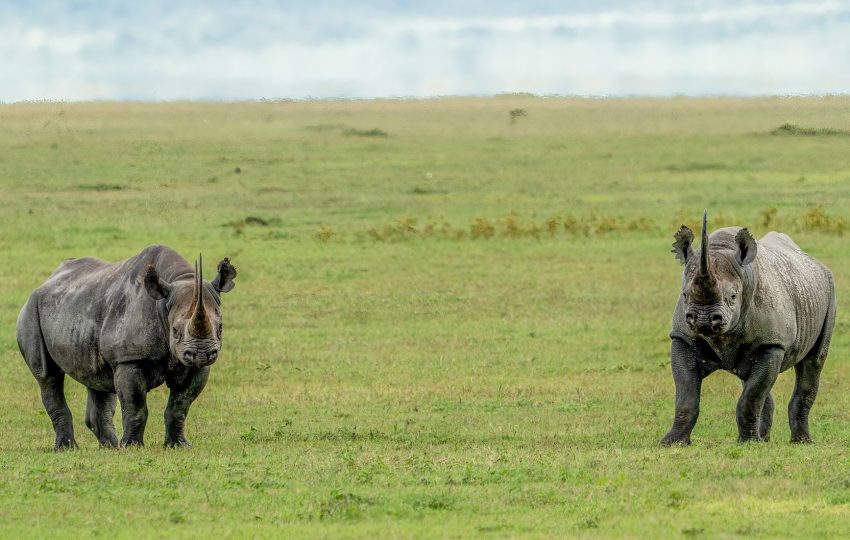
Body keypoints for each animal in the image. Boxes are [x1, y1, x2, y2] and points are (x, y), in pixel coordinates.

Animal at [16, 245, 237, 450]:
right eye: (174, 330)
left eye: (220, 327)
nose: (202, 354)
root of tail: (46, 281)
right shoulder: (129, 359)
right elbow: (135, 406)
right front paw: (132, 446)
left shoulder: (194, 366)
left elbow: (180, 406)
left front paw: (178, 446)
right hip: (31, 311)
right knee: (48, 376)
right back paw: (67, 448)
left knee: (97, 380)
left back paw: (111, 448)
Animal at [661, 211, 835, 445]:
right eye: (685, 294)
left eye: (733, 296)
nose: (704, 319)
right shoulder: (683, 337)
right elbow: (686, 395)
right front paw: (671, 443)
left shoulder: (772, 344)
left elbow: (752, 396)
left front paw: (749, 443)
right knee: (753, 379)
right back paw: (765, 438)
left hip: (828, 290)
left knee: (813, 362)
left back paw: (801, 442)